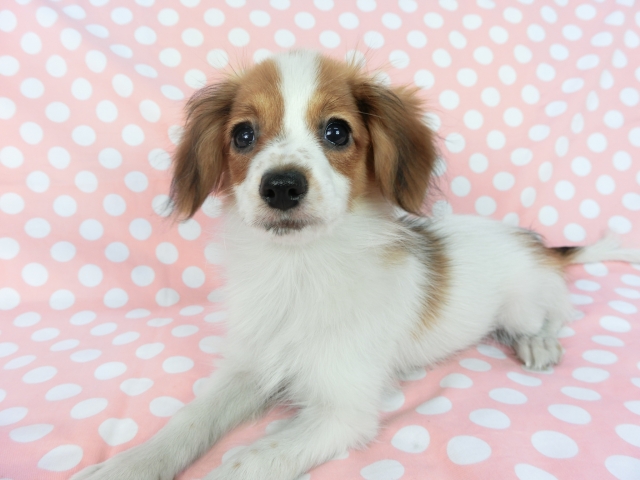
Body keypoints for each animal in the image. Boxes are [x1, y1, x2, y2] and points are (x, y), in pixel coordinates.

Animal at [71, 50, 640, 480]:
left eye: (338, 132)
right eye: (243, 135)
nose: (281, 186)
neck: (300, 271)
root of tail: (535, 242)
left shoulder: (343, 411)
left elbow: (245, 463)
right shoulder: (249, 367)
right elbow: (187, 422)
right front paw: (129, 464)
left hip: (524, 301)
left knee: (552, 314)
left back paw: (538, 342)